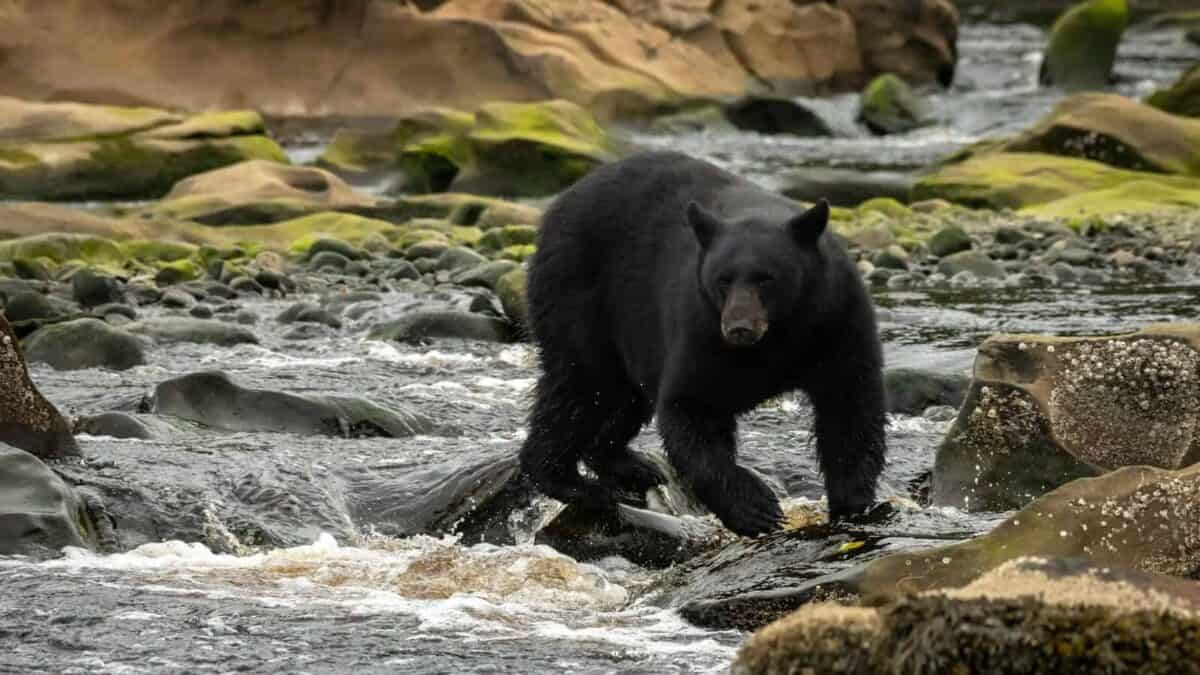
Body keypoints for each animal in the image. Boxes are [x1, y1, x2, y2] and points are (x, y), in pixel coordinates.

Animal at [518, 150, 887, 536]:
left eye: (766, 278)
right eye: (723, 279)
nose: (738, 328)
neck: (778, 337)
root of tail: (560, 202)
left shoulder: (837, 320)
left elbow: (849, 410)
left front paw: (853, 504)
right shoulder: (701, 332)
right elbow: (691, 408)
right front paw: (755, 508)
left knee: (620, 396)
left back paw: (629, 465)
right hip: (577, 296)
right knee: (580, 388)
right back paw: (573, 483)